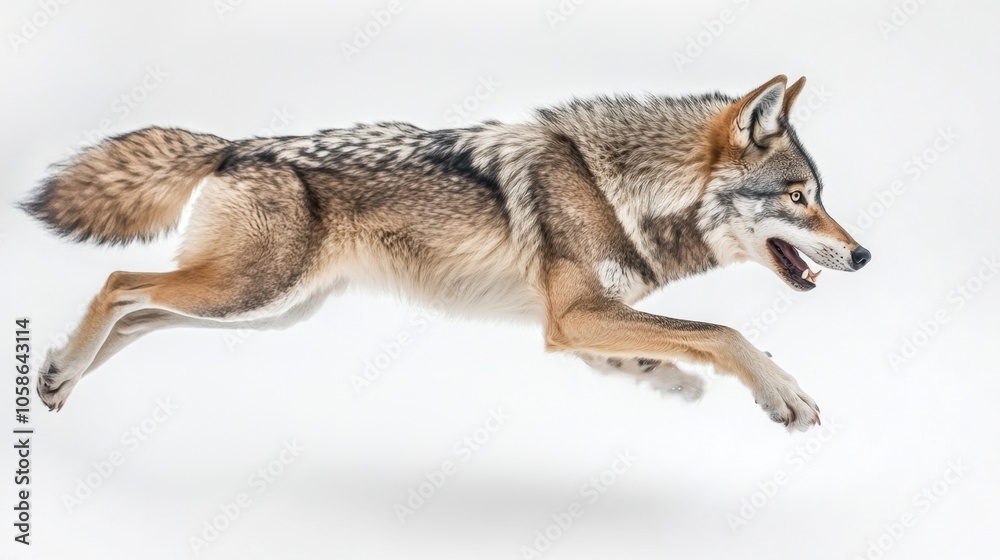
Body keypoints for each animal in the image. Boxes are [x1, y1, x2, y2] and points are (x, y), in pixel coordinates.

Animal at [21, 75, 869, 430]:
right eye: (800, 197)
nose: (862, 257)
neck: (620, 188)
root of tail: (234, 145)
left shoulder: (579, 319)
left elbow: (662, 348)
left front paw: (660, 377)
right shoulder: (570, 316)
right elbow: (722, 333)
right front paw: (784, 396)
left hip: (266, 309)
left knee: (138, 313)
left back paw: (58, 376)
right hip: (249, 294)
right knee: (120, 281)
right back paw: (61, 369)